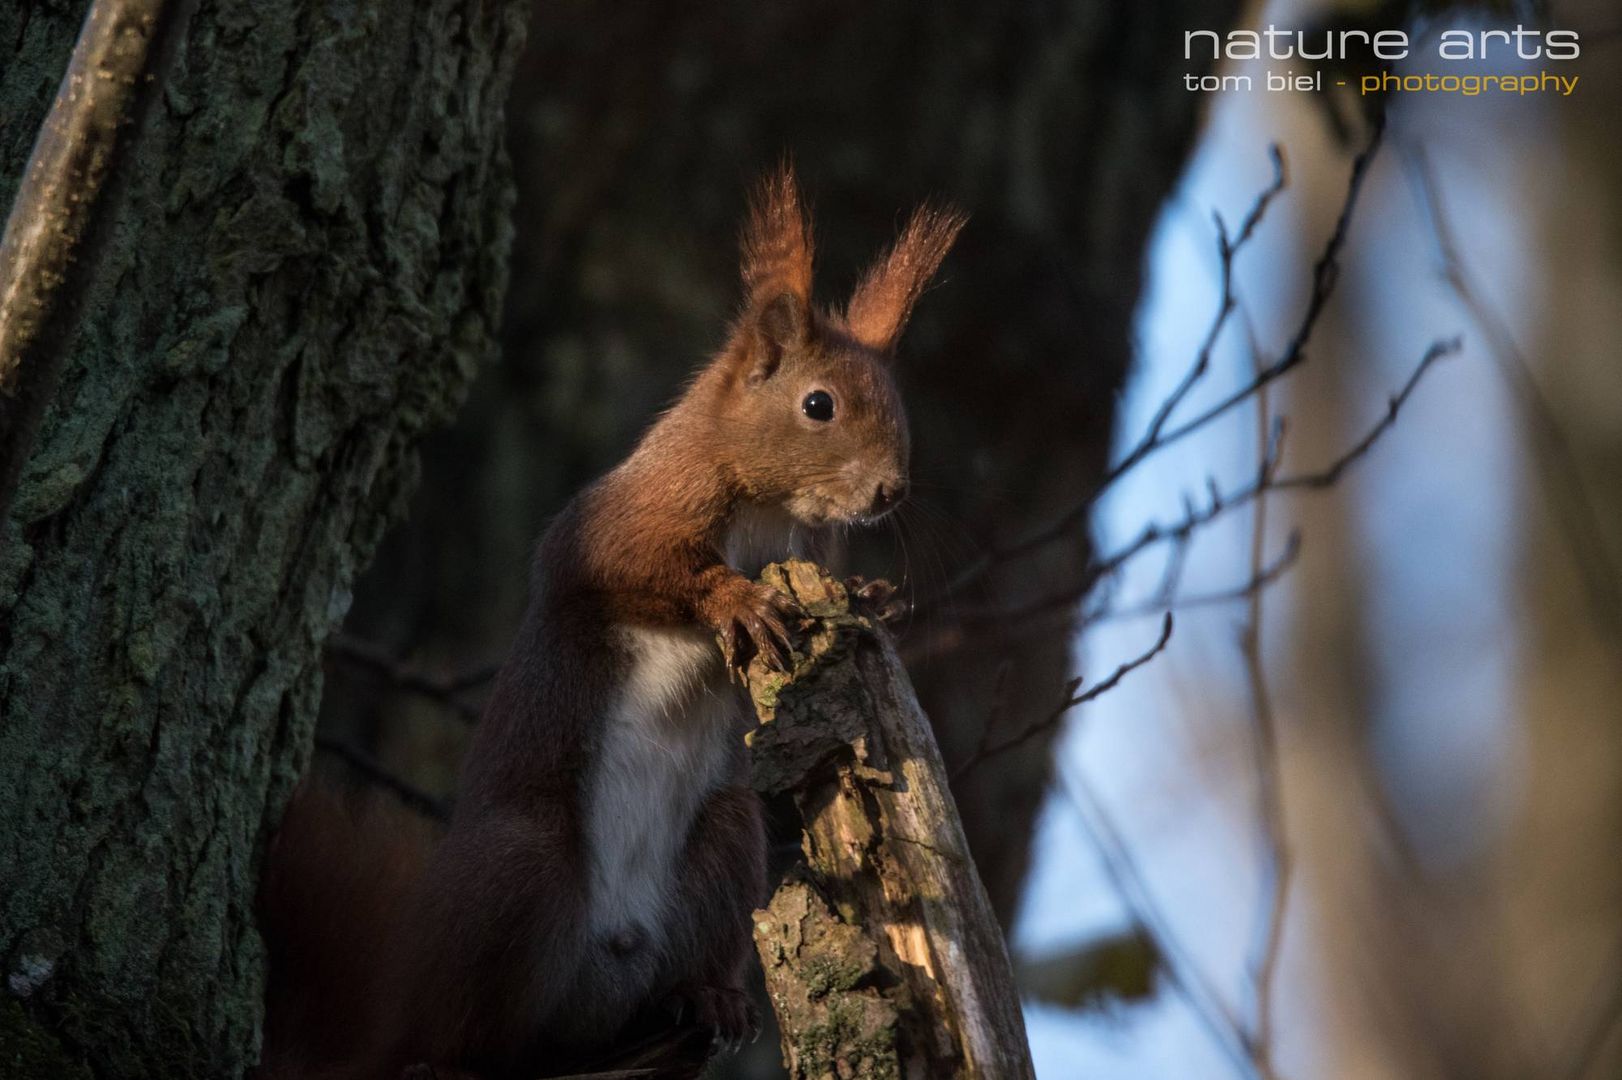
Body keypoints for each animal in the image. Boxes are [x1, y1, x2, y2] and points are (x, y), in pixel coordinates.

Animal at [259, 168, 953, 1076]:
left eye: (897, 403)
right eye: (818, 404)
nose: (890, 491)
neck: (768, 512)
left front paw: (874, 597)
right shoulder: (621, 519)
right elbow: (638, 572)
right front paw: (735, 599)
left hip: (724, 842)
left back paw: (712, 998)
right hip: (520, 869)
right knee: (466, 1030)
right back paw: (453, 1054)